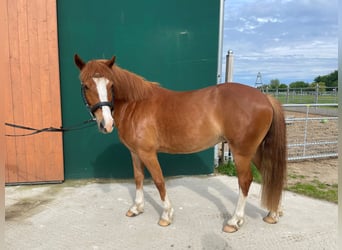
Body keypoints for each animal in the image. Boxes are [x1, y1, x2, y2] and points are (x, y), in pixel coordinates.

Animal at [74, 54, 286, 232]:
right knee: (269, 174)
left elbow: (159, 181)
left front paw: (166, 215)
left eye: (111, 85)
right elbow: (138, 178)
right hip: (255, 151)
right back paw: (273, 213)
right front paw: (136, 208)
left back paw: (235, 221)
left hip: (242, 152)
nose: (106, 124)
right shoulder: (135, 152)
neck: (136, 104)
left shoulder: (148, 153)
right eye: (86, 85)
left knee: (245, 181)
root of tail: (265, 97)